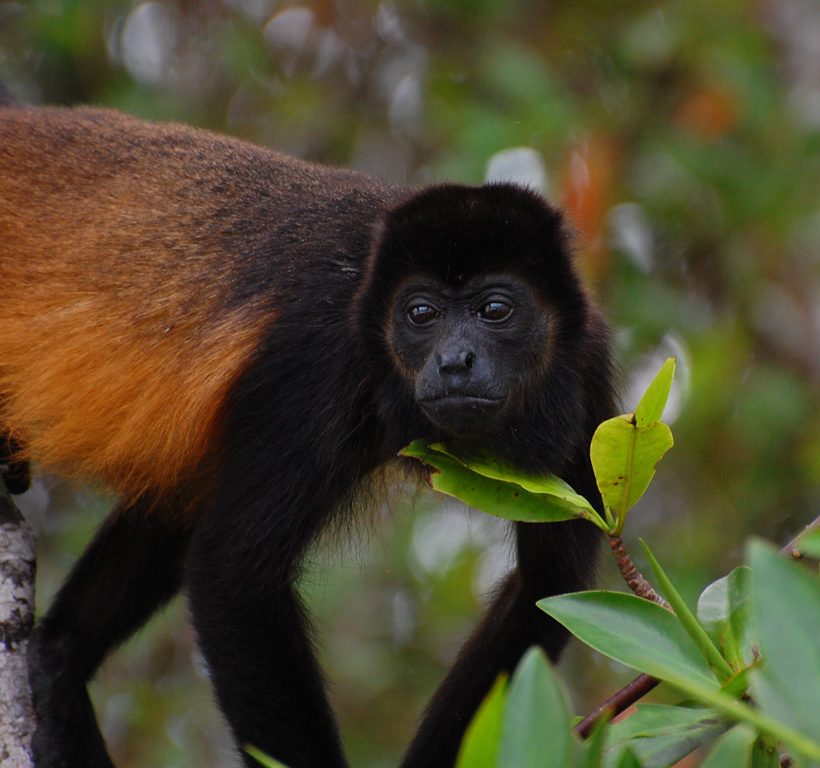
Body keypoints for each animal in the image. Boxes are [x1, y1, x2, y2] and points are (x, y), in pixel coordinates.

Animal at [0, 103, 616, 768]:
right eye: (421, 313)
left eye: (495, 310)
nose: (454, 361)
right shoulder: (316, 359)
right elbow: (233, 571)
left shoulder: (587, 370)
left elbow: (547, 583)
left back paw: (57, 665)